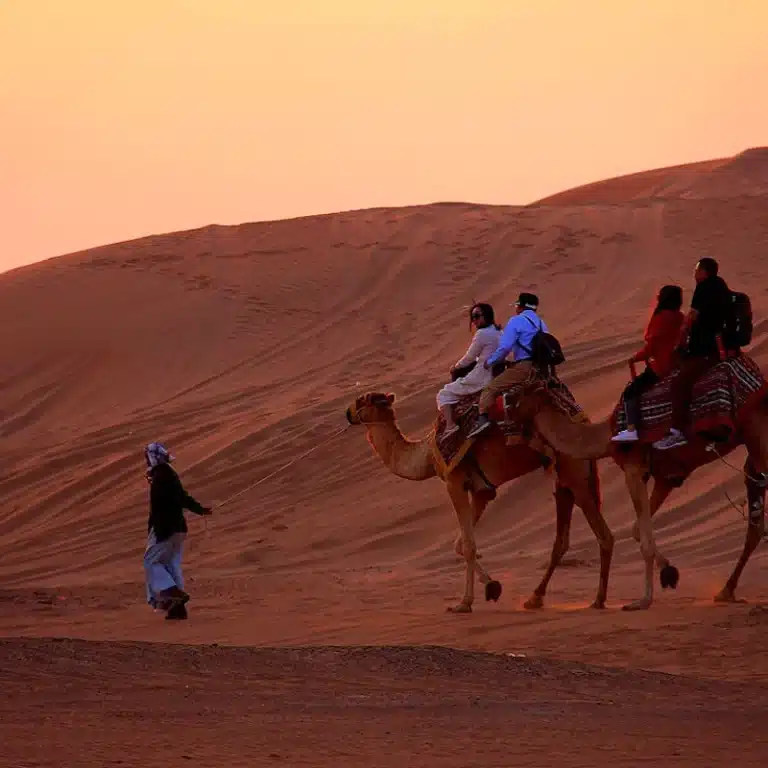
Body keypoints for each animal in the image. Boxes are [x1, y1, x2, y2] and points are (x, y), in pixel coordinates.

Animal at [344, 392, 616, 616]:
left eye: (361, 400)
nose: (347, 413)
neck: (427, 455)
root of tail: (585, 422)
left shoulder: (454, 482)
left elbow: (468, 545)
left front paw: (464, 603)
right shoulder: (483, 490)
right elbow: (461, 544)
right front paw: (493, 587)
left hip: (574, 472)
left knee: (603, 535)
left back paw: (598, 600)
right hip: (564, 478)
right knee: (561, 540)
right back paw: (535, 598)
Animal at [504, 374, 768, 612]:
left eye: (521, 392)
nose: (505, 398)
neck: (606, 437)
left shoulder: (633, 469)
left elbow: (644, 541)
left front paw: (643, 600)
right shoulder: (666, 476)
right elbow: (637, 530)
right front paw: (669, 572)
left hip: (758, 436)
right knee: (755, 522)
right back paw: (726, 591)